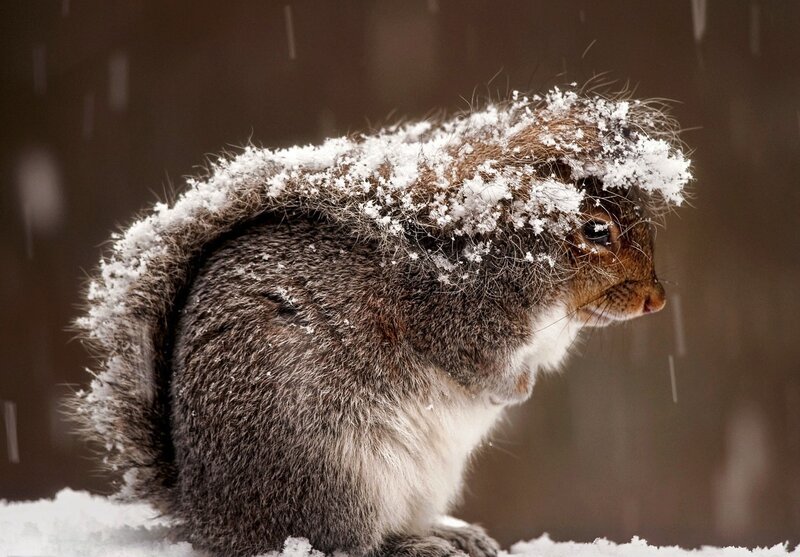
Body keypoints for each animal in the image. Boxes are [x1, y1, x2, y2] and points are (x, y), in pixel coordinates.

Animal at [72, 87, 691, 557]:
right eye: (596, 231)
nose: (657, 300)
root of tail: (210, 516)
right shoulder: (451, 320)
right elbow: (475, 366)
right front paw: (512, 390)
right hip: (334, 472)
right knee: (346, 543)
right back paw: (414, 545)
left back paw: (450, 532)